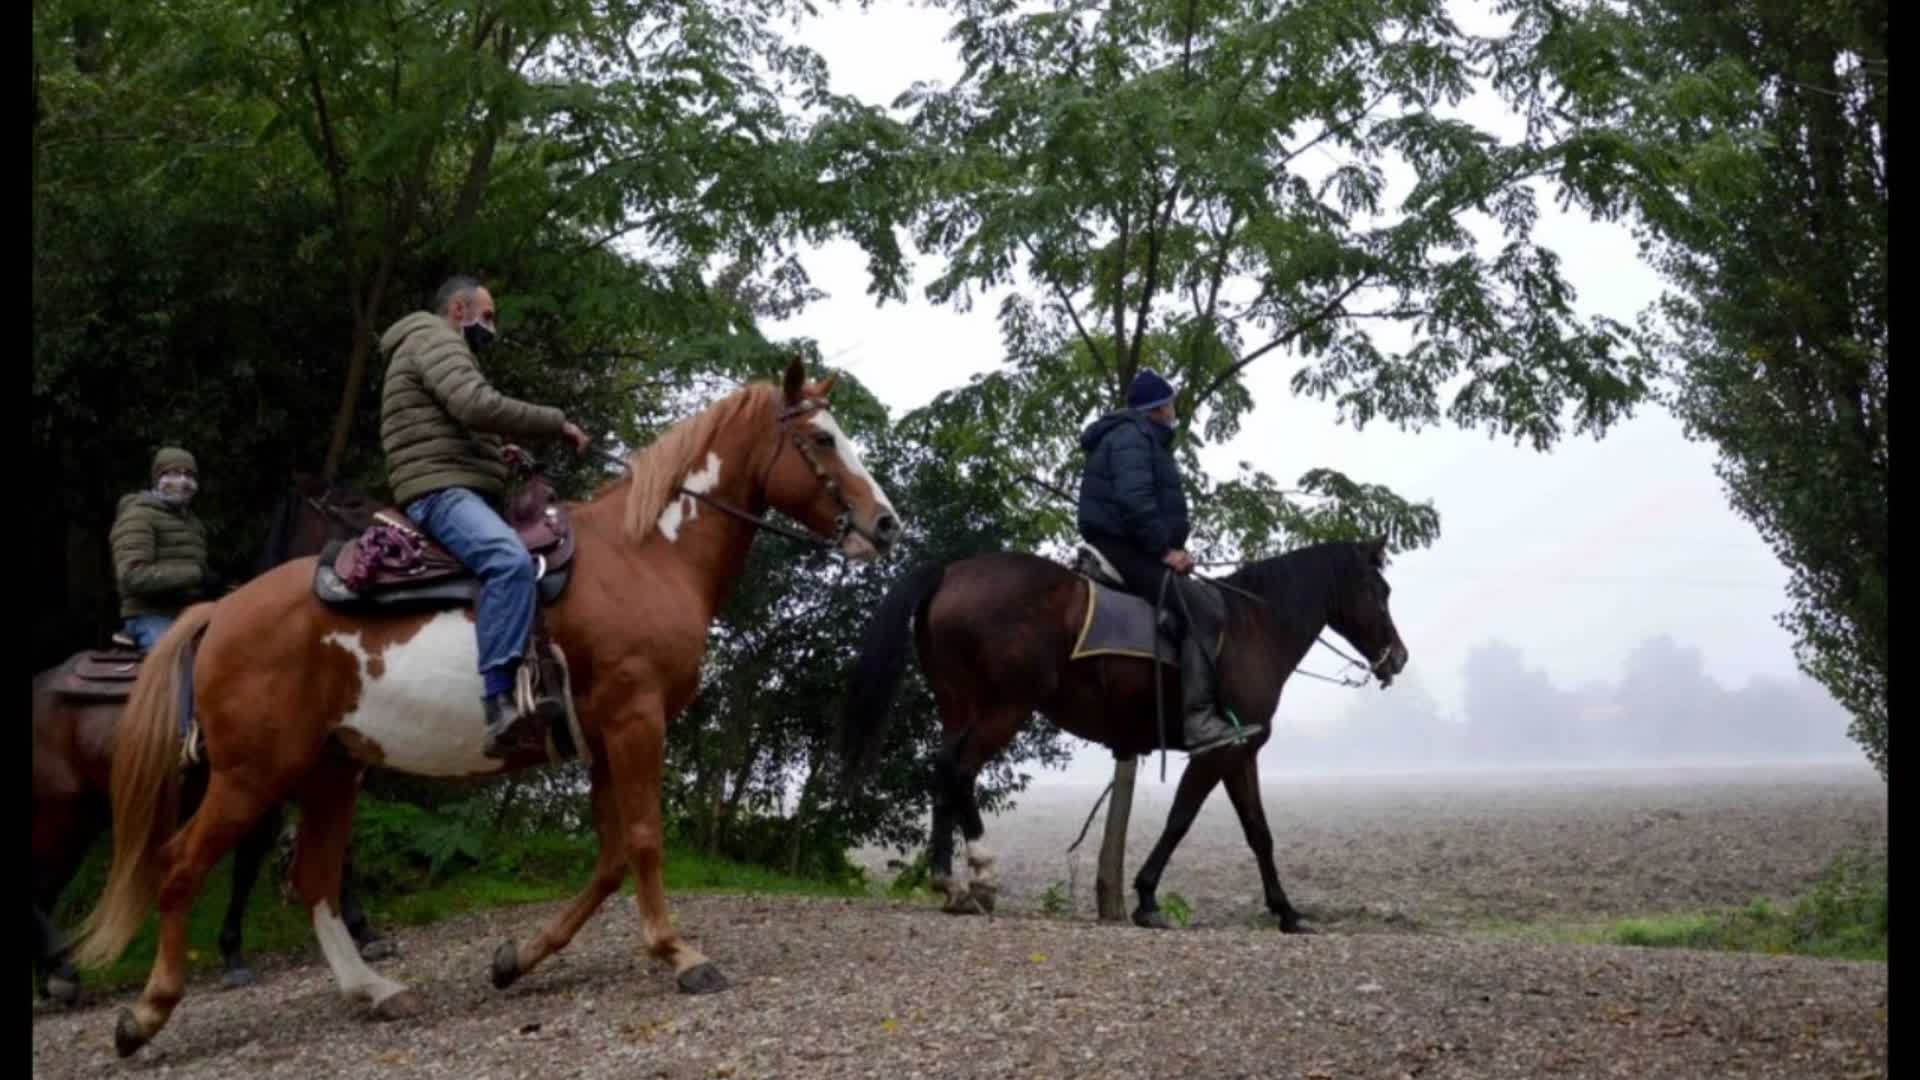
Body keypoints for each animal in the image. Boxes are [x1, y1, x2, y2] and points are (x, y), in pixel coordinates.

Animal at [32, 478, 389, 999]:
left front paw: (363, 932)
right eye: (355, 504)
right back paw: (59, 969)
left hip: (81, 819)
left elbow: (308, 854)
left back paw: (51, 976)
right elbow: (260, 861)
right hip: (59, 816)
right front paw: (234, 951)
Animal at [840, 538, 1413, 926]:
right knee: (959, 773)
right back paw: (980, 873)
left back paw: (950, 883)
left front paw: (1285, 910)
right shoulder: (1220, 752)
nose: (1399, 658)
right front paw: (1147, 897)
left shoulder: (1240, 752)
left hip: (960, 709)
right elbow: (1184, 820)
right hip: (1005, 709)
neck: (1251, 627)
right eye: (1379, 590)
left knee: (943, 774)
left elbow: (1256, 831)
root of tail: (950, 573)